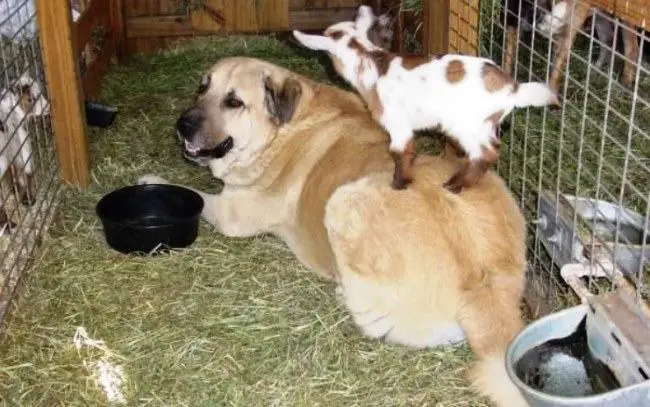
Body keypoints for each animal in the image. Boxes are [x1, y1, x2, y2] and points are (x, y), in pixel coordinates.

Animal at [137, 57, 528, 407]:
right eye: (203, 88)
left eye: (233, 102)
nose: (183, 124)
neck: (284, 129)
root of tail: (483, 280)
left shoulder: (231, 213)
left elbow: (196, 196)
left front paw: (151, 180)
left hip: (343, 200)